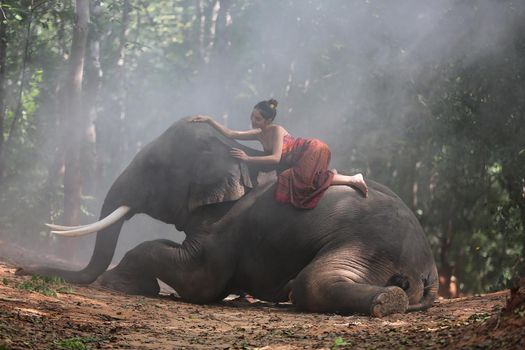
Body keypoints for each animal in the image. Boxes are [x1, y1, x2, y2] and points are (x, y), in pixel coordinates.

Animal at [18, 117, 438, 318]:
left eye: (153, 167)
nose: (22, 269)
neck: (233, 150)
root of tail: (427, 266)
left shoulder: (226, 227)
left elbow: (200, 280)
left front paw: (117, 283)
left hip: (368, 244)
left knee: (312, 283)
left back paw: (387, 301)